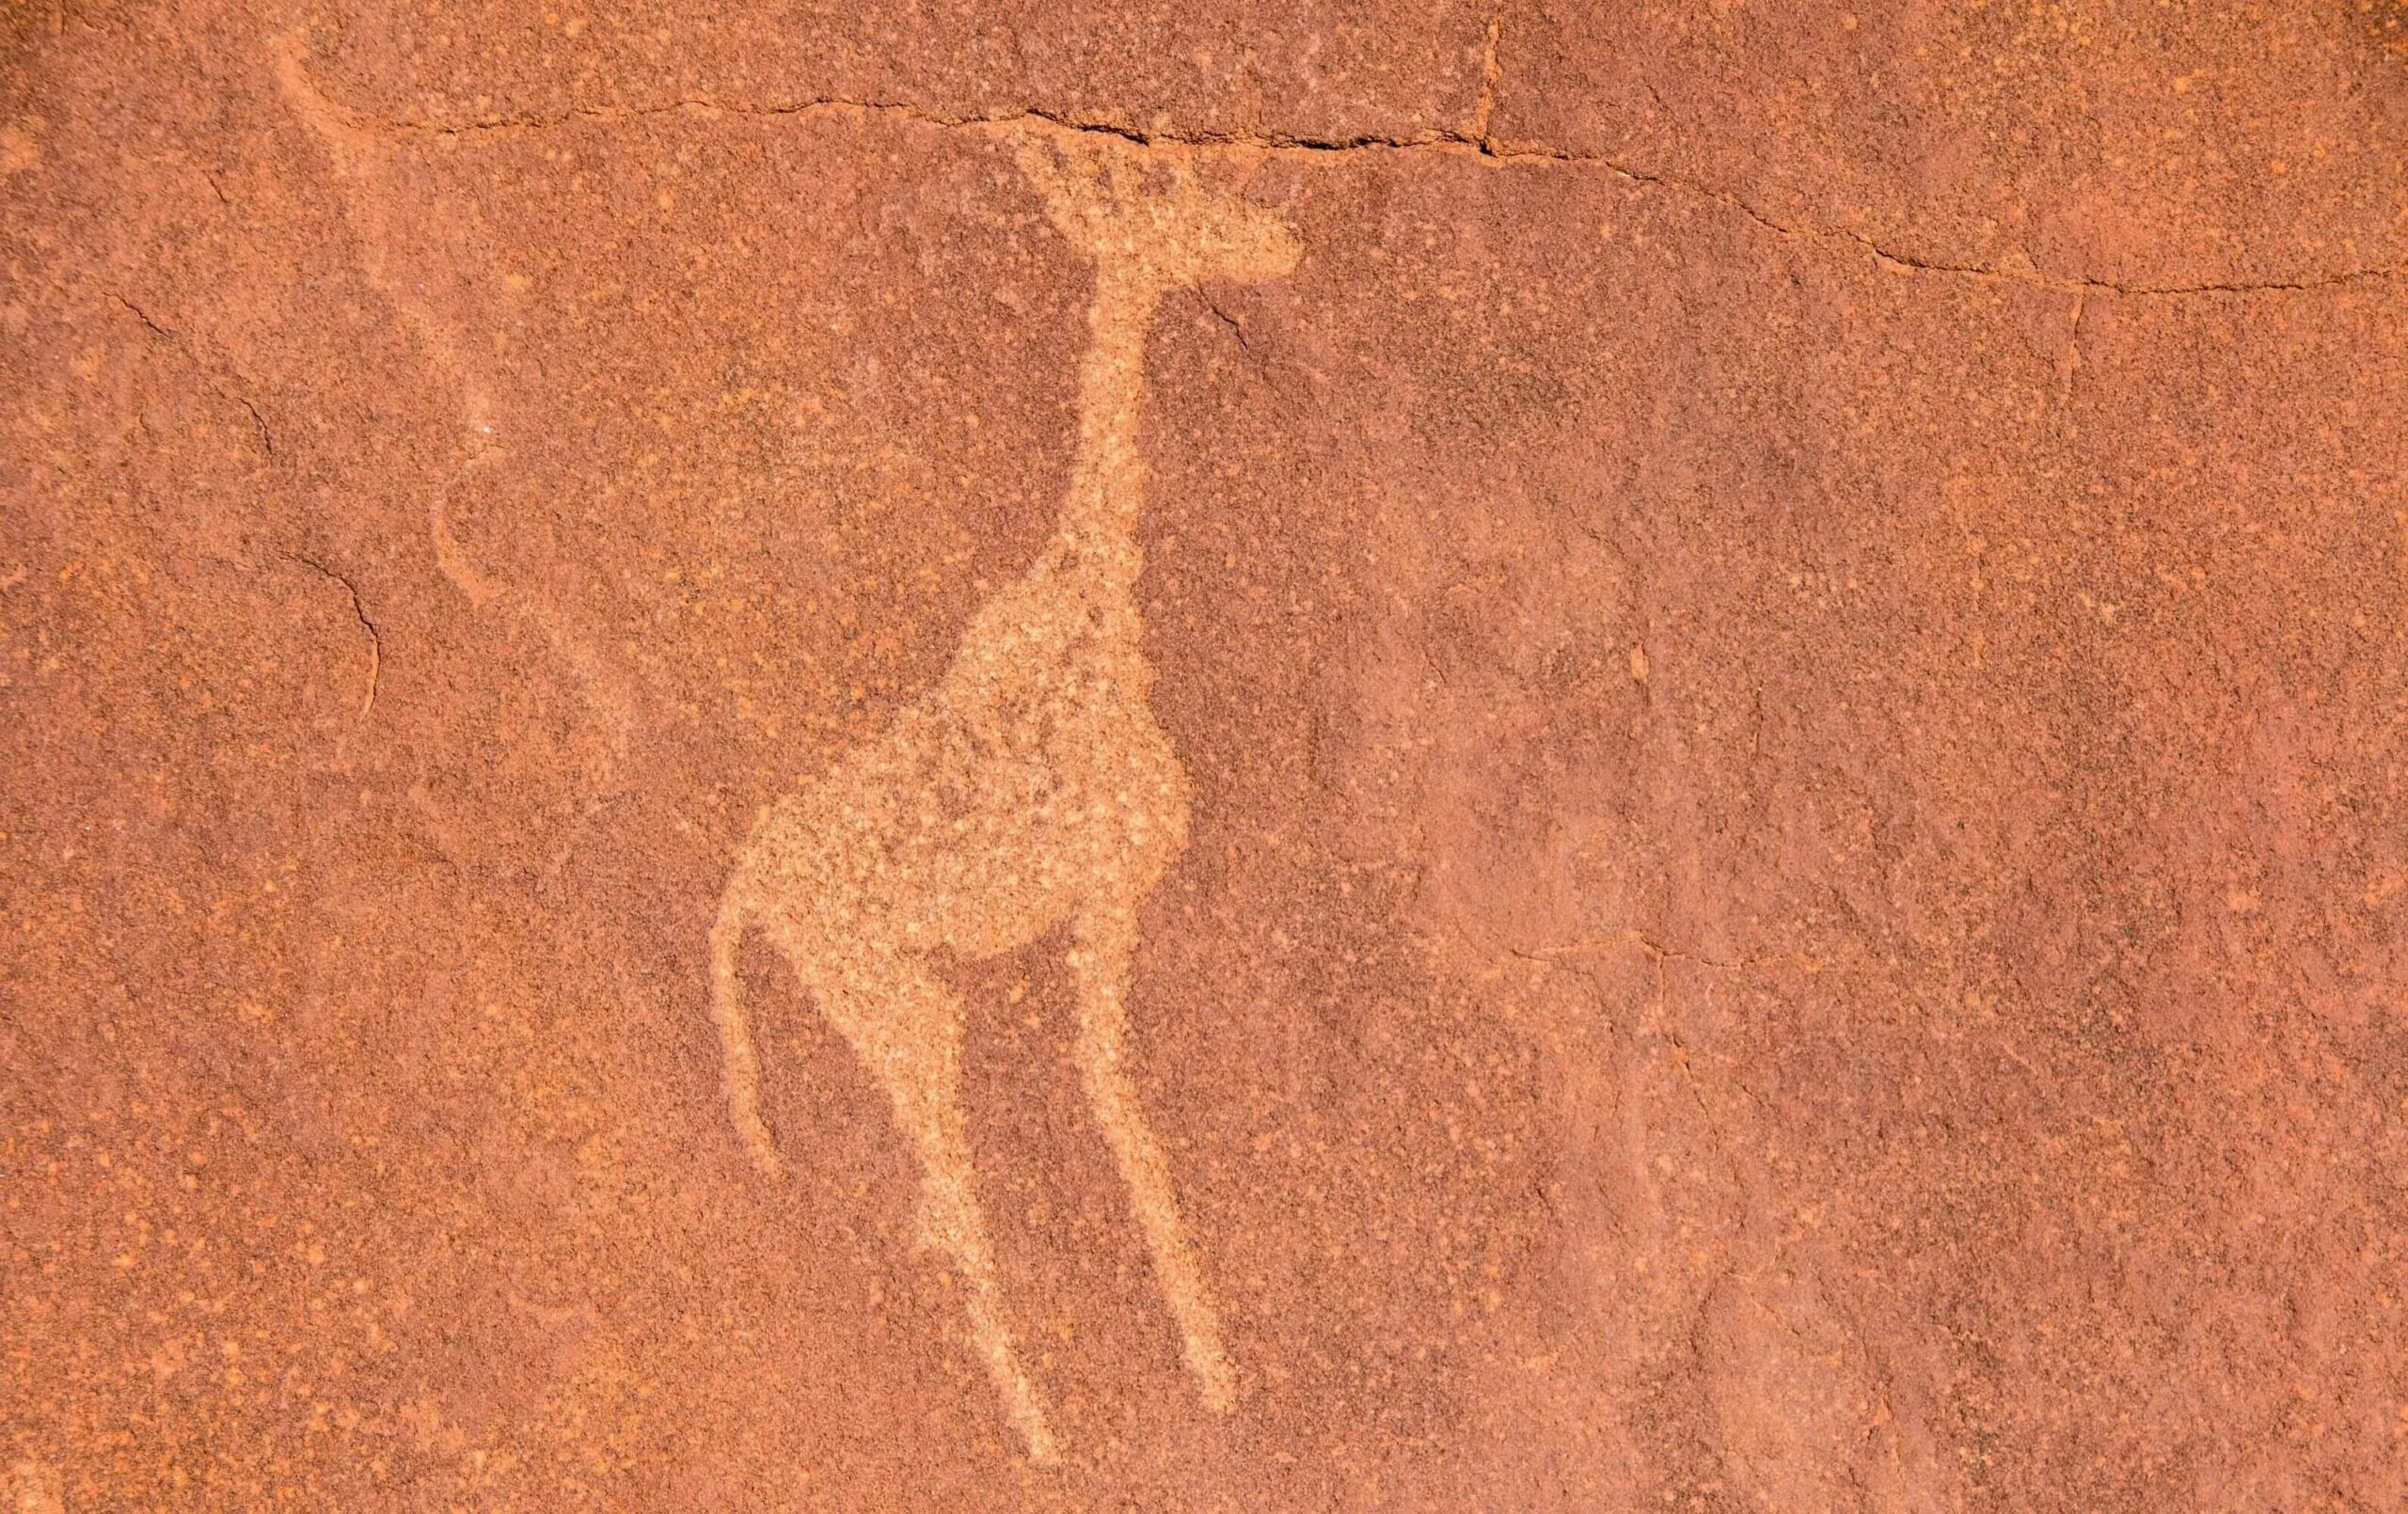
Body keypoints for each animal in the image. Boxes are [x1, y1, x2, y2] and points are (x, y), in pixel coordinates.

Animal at [708, 127, 1300, 1464]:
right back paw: (1037, 1432)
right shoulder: (1107, 892)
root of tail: (743, 888)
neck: (1097, 612)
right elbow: (1115, 1096)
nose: (1288, 246)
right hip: (896, 997)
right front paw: (1212, 1370)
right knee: (950, 1191)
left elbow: (1097, 1094)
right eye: (1190, 213)